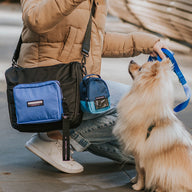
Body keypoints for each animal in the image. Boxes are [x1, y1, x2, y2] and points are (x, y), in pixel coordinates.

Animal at [112, 59, 192, 191]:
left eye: (140, 69)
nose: (131, 60)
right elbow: (137, 171)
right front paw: (134, 180)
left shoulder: (139, 154)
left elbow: (139, 171)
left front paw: (138, 185)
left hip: (166, 172)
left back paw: (158, 188)